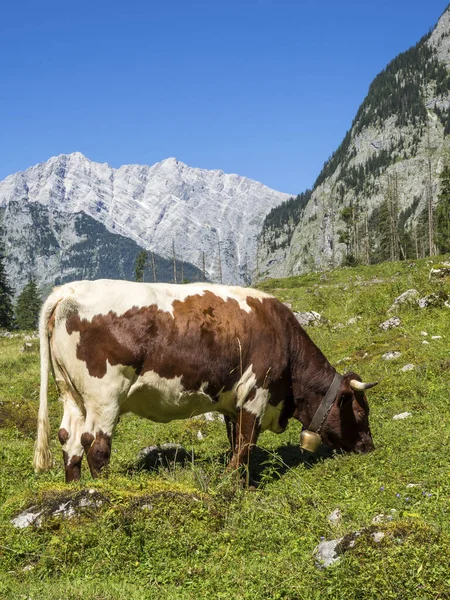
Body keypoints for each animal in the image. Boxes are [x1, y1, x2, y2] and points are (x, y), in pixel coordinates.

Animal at [33, 278, 376, 480]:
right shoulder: (256, 392)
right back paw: (105, 492)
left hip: (71, 394)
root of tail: (69, 290)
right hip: (104, 395)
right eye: (360, 413)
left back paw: (76, 491)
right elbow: (247, 443)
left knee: (70, 439)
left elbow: (236, 440)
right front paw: (233, 485)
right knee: (95, 444)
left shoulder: (232, 401)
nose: (369, 447)